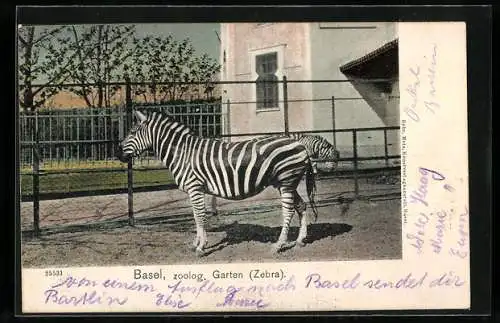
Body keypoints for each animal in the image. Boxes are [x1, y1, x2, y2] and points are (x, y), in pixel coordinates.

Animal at [115, 110, 318, 256]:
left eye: (132, 132)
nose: (117, 154)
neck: (182, 152)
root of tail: (301, 145)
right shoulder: (194, 189)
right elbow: (196, 216)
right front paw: (196, 244)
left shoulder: (195, 187)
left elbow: (200, 216)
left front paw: (201, 247)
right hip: (286, 182)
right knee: (301, 205)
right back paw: (300, 240)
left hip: (287, 180)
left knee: (288, 211)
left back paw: (278, 245)